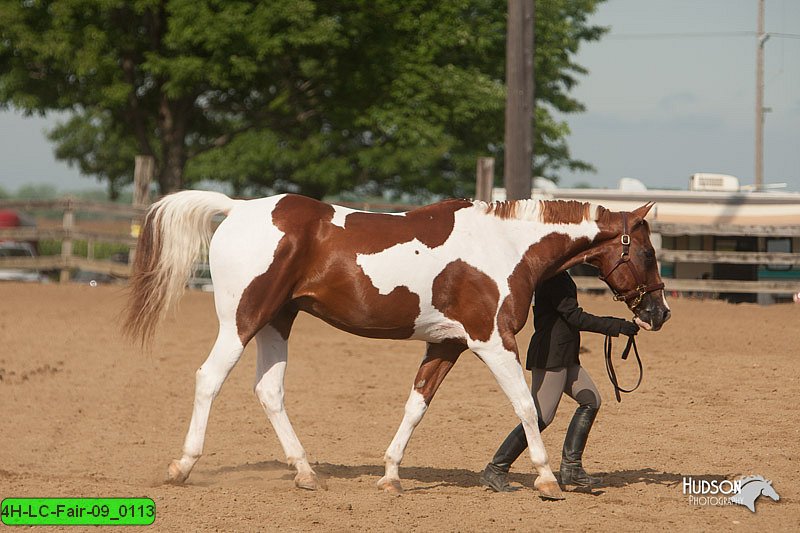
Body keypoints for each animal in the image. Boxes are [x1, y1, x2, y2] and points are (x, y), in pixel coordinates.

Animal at [125, 191, 672, 498]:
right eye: (647, 253)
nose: (658, 313)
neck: (504, 247)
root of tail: (237, 209)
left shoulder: (447, 345)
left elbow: (417, 405)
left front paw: (390, 476)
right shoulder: (493, 341)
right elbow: (524, 404)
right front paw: (546, 480)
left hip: (279, 320)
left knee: (269, 391)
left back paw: (306, 473)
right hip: (242, 319)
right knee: (209, 378)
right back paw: (182, 467)